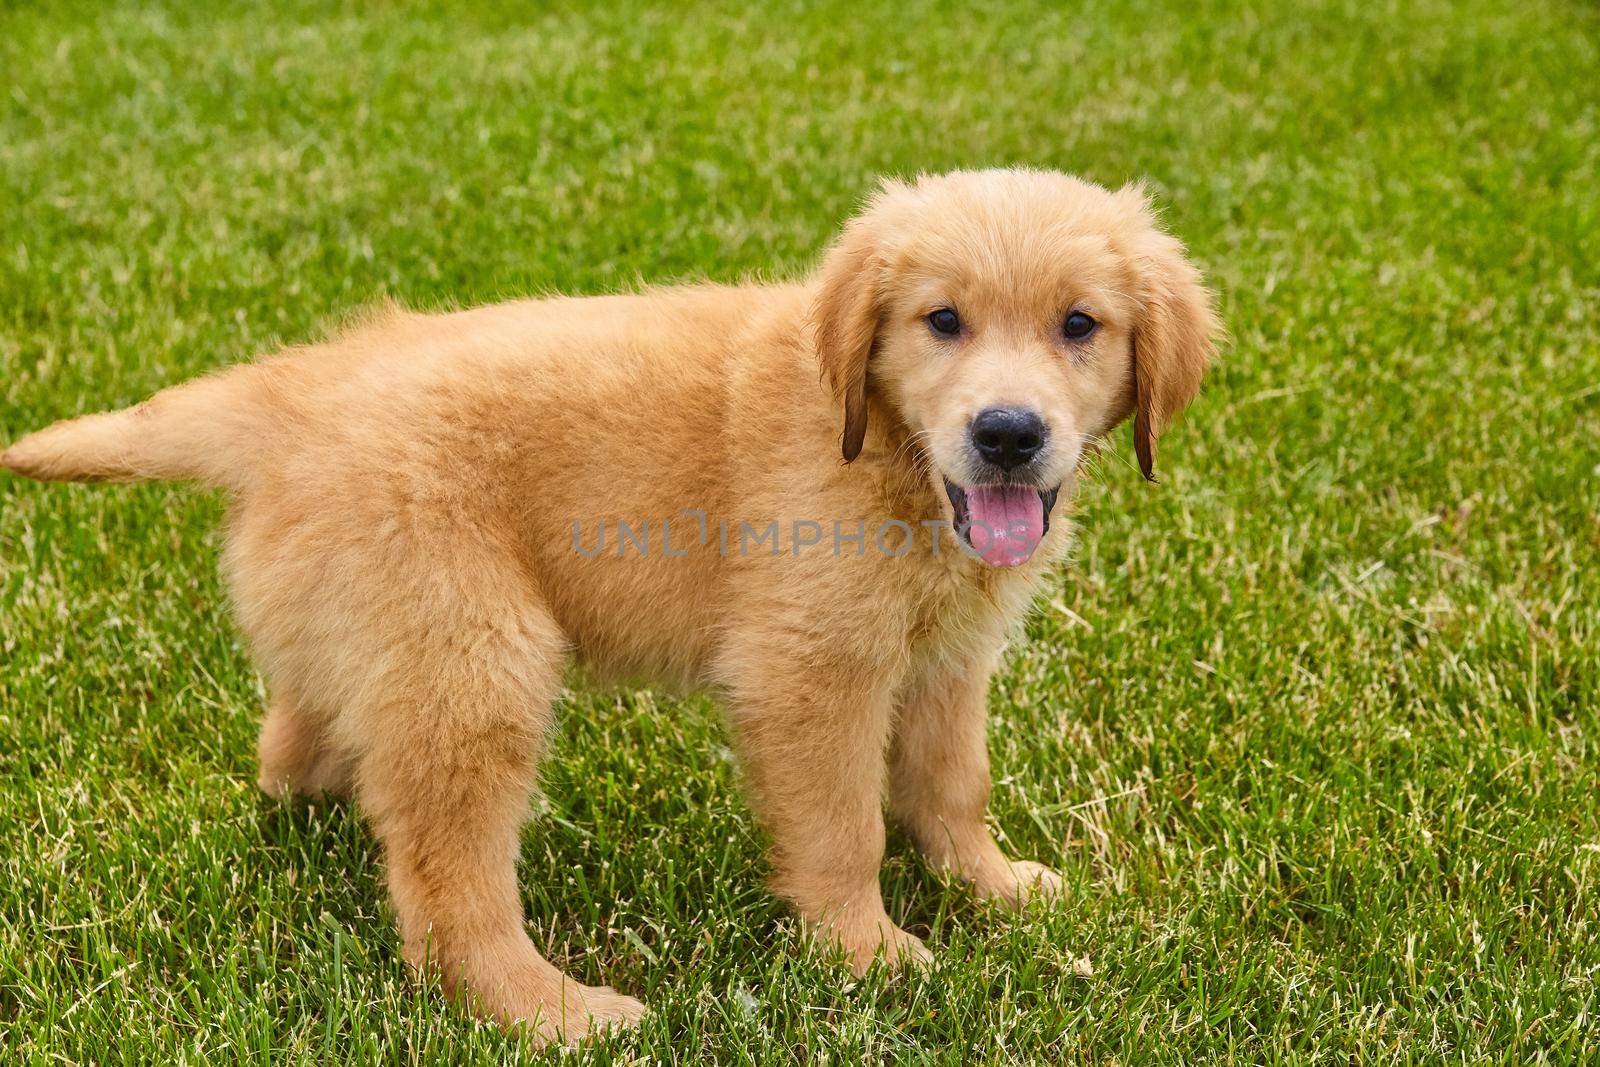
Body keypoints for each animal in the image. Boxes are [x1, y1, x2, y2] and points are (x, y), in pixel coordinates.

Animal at [6, 167, 1216, 1043]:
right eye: (942, 320)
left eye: (1079, 325)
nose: (1007, 433)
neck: (887, 451)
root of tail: (289, 397)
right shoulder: (810, 666)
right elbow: (844, 825)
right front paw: (866, 952)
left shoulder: (947, 655)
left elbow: (953, 782)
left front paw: (990, 884)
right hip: (476, 655)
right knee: (445, 893)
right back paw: (552, 1010)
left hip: (369, 628)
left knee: (301, 734)